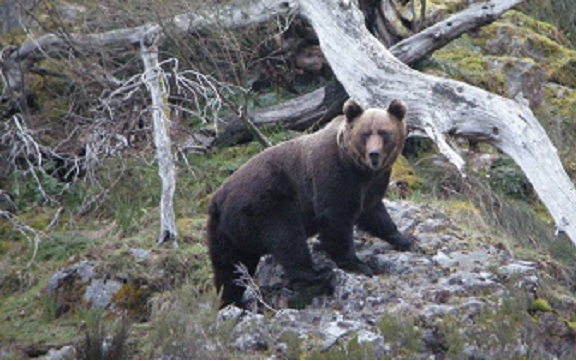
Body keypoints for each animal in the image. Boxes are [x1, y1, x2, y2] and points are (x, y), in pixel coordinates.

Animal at [209, 98, 412, 306]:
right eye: (365, 134)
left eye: (384, 133)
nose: (374, 154)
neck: (359, 169)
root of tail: (219, 199)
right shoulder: (335, 175)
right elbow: (336, 219)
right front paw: (357, 264)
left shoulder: (372, 184)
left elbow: (374, 212)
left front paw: (404, 238)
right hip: (266, 204)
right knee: (287, 238)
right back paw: (317, 273)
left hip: (225, 232)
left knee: (230, 267)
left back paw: (232, 300)